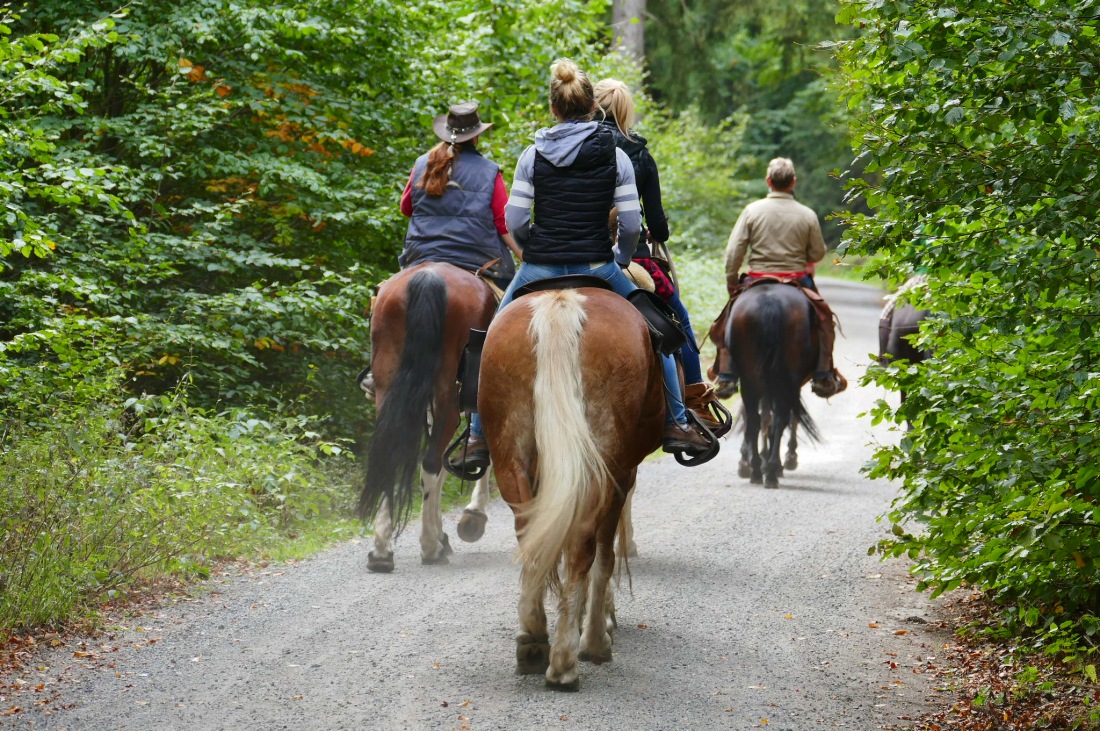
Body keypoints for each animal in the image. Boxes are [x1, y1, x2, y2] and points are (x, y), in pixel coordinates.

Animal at [358, 259, 497, 571]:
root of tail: (429, 278)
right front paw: (471, 517)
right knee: (432, 462)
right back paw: (431, 547)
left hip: (390, 384)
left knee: (392, 451)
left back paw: (381, 551)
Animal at [479, 285, 660, 690]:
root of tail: (561, 302)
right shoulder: (622, 475)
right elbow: (605, 556)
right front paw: (597, 628)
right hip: (604, 460)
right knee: (583, 546)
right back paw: (568, 660)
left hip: (510, 451)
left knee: (531, 535)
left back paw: (533, 640)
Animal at [730, 281, 818, 488]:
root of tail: (770, 302)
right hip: (783, 381)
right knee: (778, 419)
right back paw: (771, 470)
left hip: (752, 381)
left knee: (756, 419)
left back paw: (757, 469)